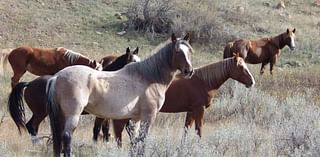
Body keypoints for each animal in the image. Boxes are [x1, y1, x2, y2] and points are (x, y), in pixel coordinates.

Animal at [7, 47, 140, 144]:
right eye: (133, 62)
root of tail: (29, 83)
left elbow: (105, 130)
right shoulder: (101, 115)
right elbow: (98, 130)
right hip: (40, 113)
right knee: (31, 126)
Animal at [46, 33, 194, 157]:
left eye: (189, 51)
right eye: (177, 51)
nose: (189, 71)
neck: (148, 77)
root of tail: (56, 77)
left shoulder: (136, 119)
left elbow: (134, 142)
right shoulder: (148, 117)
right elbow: (142, 141)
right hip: (73, 115)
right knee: (67, 137)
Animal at [101, 53, 256, 147]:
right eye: (241, 67)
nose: (252, 82)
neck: (203, 81)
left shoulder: (191, 111)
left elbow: (186, 130)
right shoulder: (199, 110)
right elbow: (199, 130)